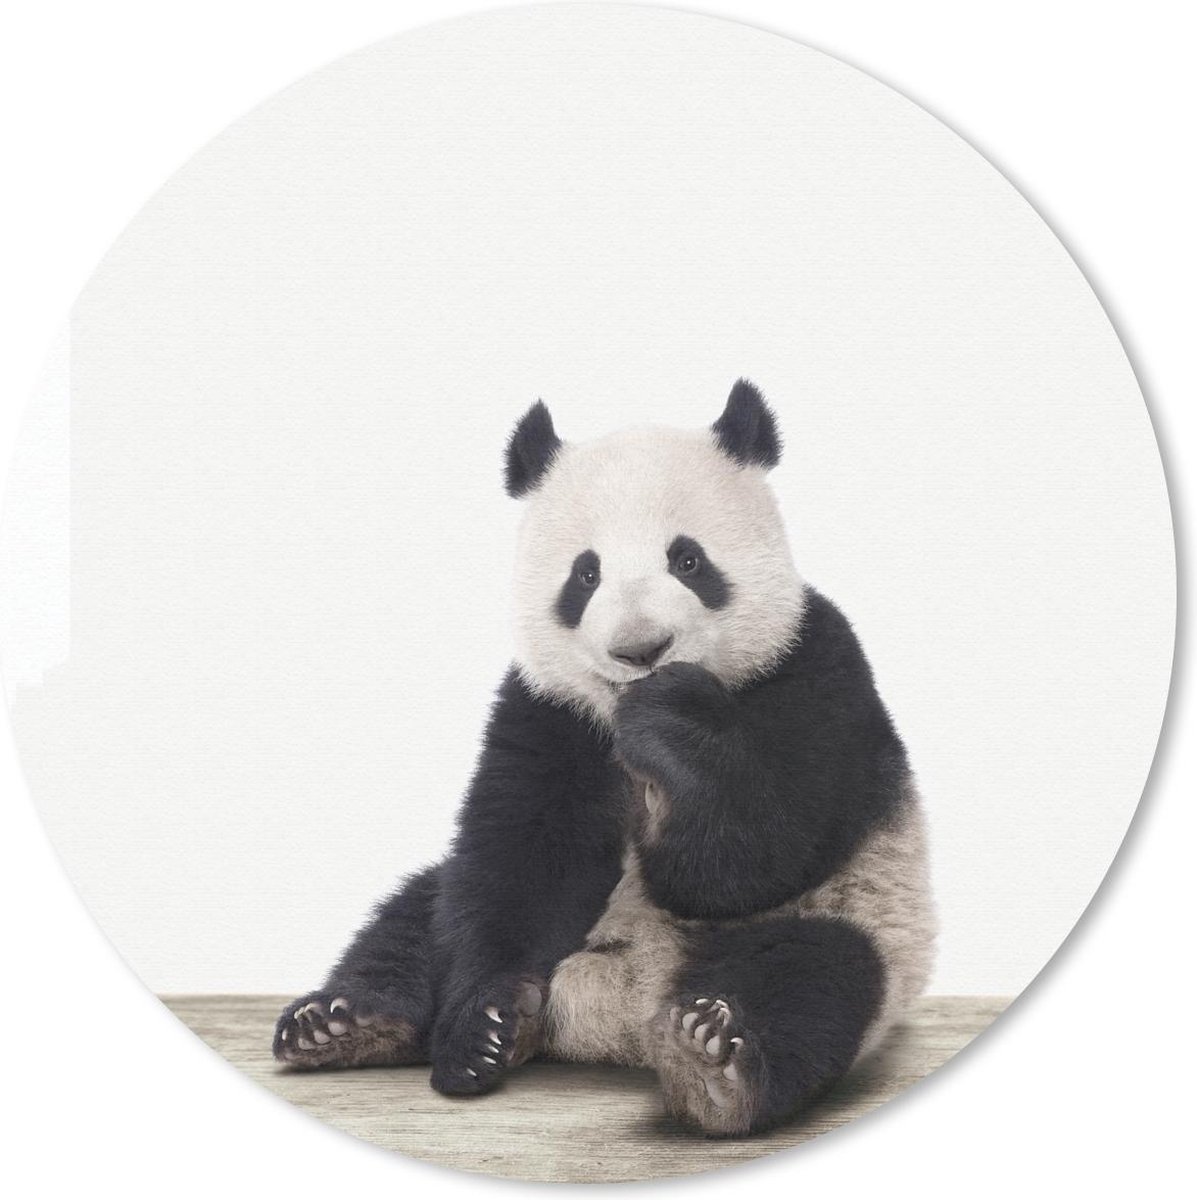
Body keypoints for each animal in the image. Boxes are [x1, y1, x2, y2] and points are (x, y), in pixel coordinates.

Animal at [273, 380, 935, 1136]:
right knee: (416, 915)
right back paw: (347, 1023)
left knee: (814, 978)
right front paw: (483, 1029)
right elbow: (521, 862)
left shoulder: (813, 665)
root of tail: (618, 1017)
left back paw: (713, 1063)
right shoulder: (549, 710)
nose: (641, 649)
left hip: (858, 918)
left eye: (688, 561)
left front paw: (673, 721)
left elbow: (753, 854)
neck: (619, 716)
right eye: (585, 575)